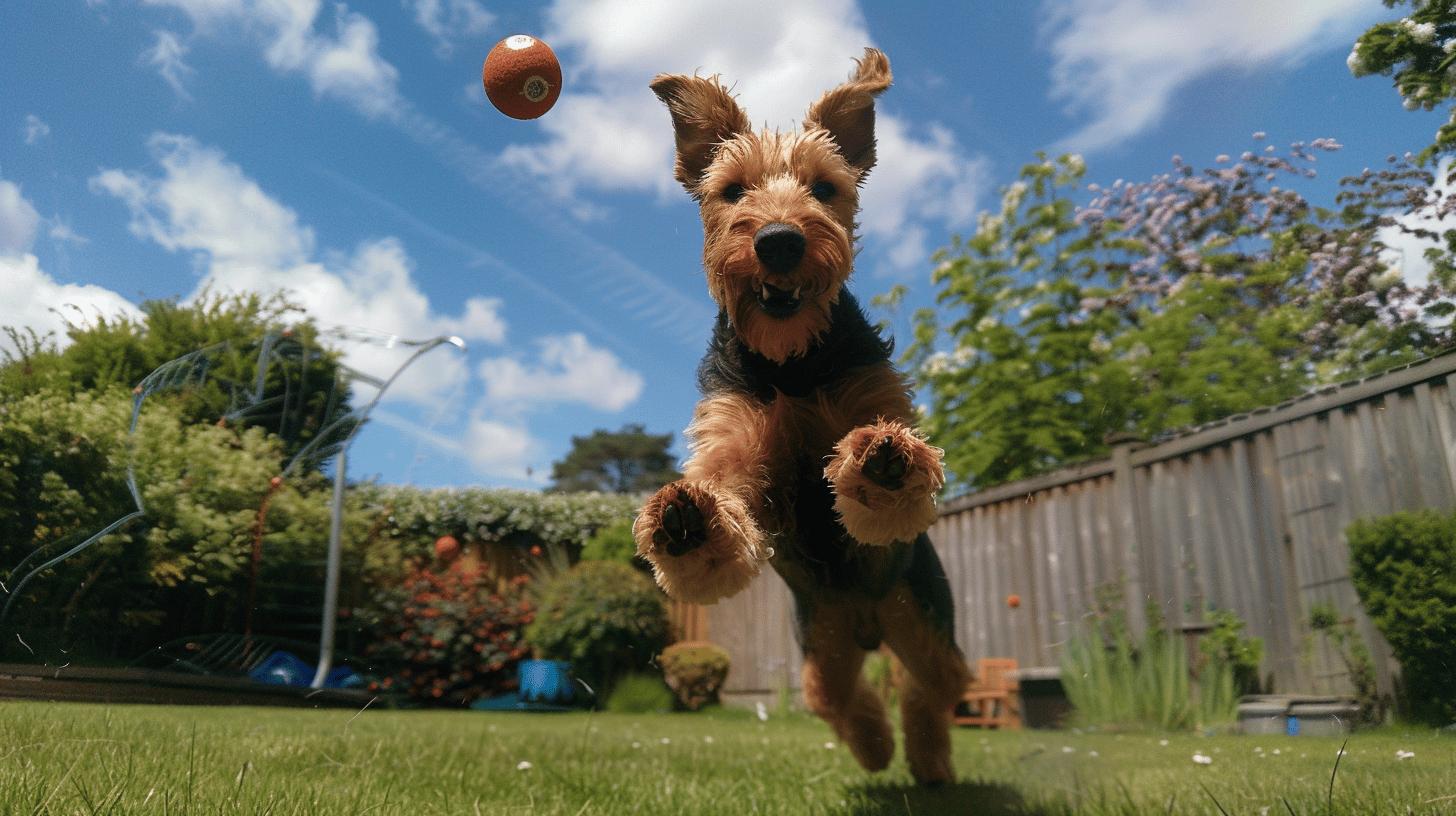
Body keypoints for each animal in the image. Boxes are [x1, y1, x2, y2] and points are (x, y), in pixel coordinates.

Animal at [634, 49, 966, 786]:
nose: (781, 241)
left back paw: (928, 764)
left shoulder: (871, 395)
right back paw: (875, 752)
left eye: (824, 187)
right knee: (840, 702)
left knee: (930, 693)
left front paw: (886, 462)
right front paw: (689, 524)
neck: (791, 362)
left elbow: (885, 459)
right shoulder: (735, 439)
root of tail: (869, 623)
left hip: (925, 624)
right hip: (823, 646)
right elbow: (727, 500)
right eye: (732, 191)